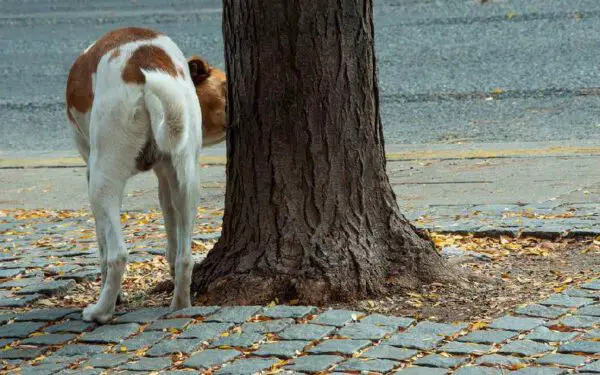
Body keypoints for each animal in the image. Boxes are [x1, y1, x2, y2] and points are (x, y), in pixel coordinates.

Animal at [64, 27, 226, 324]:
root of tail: (144, 64)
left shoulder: (91, 173)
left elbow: (102, 248)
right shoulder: (167, 179)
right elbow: (172, 243)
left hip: (103, 181)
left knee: (117, 255)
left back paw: (101, 311)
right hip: (188, 183)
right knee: (185, 257)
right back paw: (180, 304)